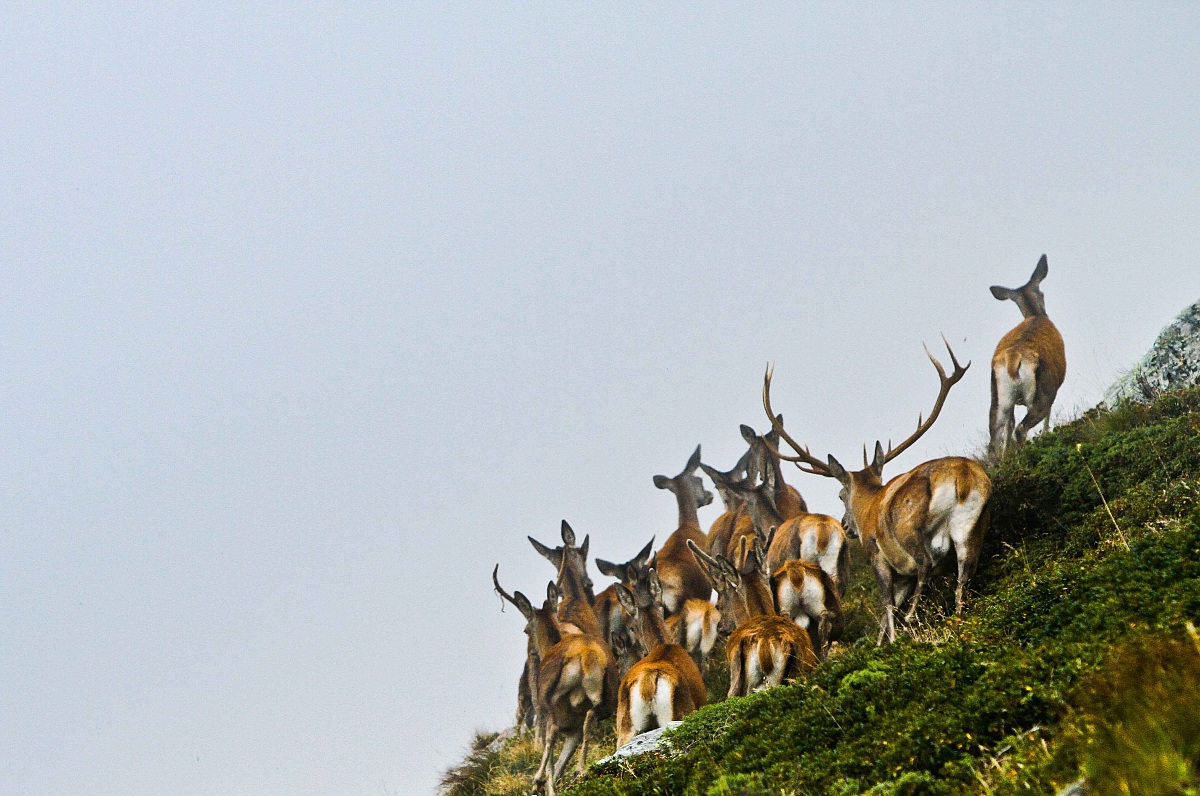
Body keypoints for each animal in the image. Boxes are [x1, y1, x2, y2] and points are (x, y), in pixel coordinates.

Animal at [764, 338, 992, 645]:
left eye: (840, 495)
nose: (846, 525)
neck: (869, 506)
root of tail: (963, 476)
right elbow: (889, 605)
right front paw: (881, 642)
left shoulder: (876, 553)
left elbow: (886, 601)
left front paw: (890, 640)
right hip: (972, 524)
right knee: (965, 571)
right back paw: (958, 617)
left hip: (909, 527)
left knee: (925, 562)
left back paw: (912, 617)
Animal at [989, 254, 1067, 457]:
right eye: (1042, 293)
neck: (1035, 314)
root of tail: (1013, 358)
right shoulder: (1053, 387)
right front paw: (1047, 435)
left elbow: (1008, 426)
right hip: (1042, 392)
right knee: (1022, 428)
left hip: (998, 396)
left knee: (994, 438)